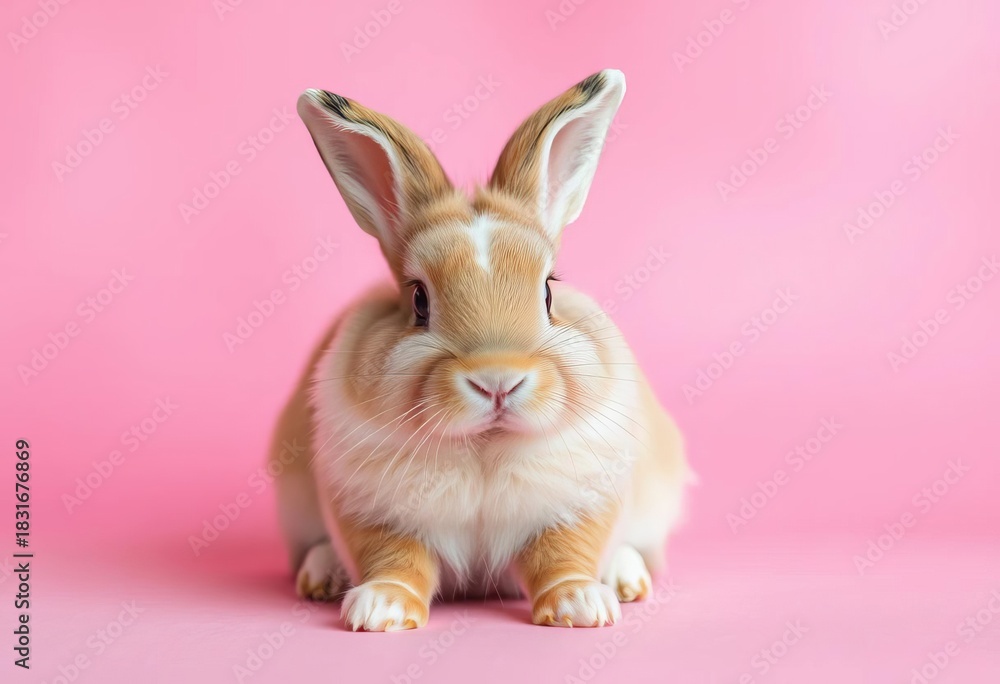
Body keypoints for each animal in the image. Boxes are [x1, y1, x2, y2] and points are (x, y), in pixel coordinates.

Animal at [270, 69, 691, 631]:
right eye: (419, 300)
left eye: (549, 291)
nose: (498, 381)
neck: (485, 447)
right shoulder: (373, 510)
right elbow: (394, 559)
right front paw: (381, 610)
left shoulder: (578, 501)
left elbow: (564, 553)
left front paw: (580, 606)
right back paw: (322, 575)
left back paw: (625, 580)